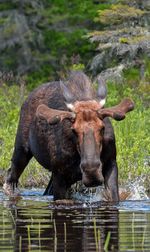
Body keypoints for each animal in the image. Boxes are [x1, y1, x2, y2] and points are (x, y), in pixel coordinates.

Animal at [2, 71, 134, 201]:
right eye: (74, 130)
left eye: (102, 128)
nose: (91, 171)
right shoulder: (60, 175)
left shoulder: (111, 163)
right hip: (21, 149)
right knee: (11, 177)